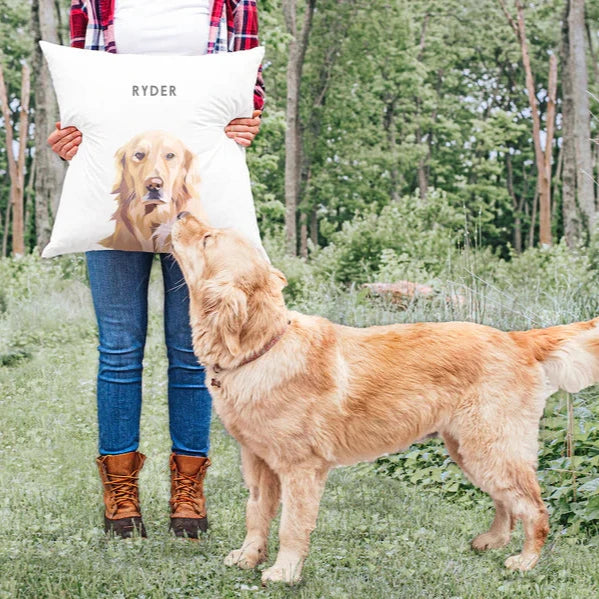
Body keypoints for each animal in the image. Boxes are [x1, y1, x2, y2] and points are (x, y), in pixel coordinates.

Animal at [169, 214, 599, 584]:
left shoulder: (301, 469)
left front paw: (284, 571)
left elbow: (291, 525)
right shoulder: (258, 463)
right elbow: (256, 513)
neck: (261, 348)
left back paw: (526, 560)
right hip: (470, 450)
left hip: (490, 449)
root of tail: (516, 338)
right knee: (506, 504)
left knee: (535, 508)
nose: (179, 212)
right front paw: (248, 556)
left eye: (208, 238)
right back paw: (492, 541)